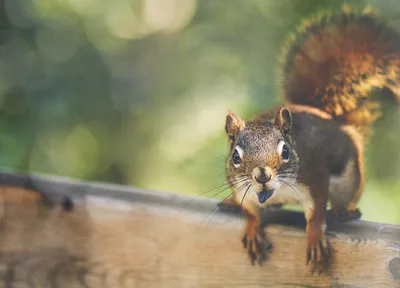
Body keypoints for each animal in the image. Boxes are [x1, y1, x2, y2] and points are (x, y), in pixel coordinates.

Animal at [223, 5, 400, 274]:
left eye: (285, 152)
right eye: (235, 156)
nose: (262, 176)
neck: (277, 191)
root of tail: (329, 117)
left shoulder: (314, 178)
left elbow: (316, 213)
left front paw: (316, 239)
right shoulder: (243, 189)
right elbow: (252, 213)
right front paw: (253, 229)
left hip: (350, 179)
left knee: (344, 197)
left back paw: (343, 212)